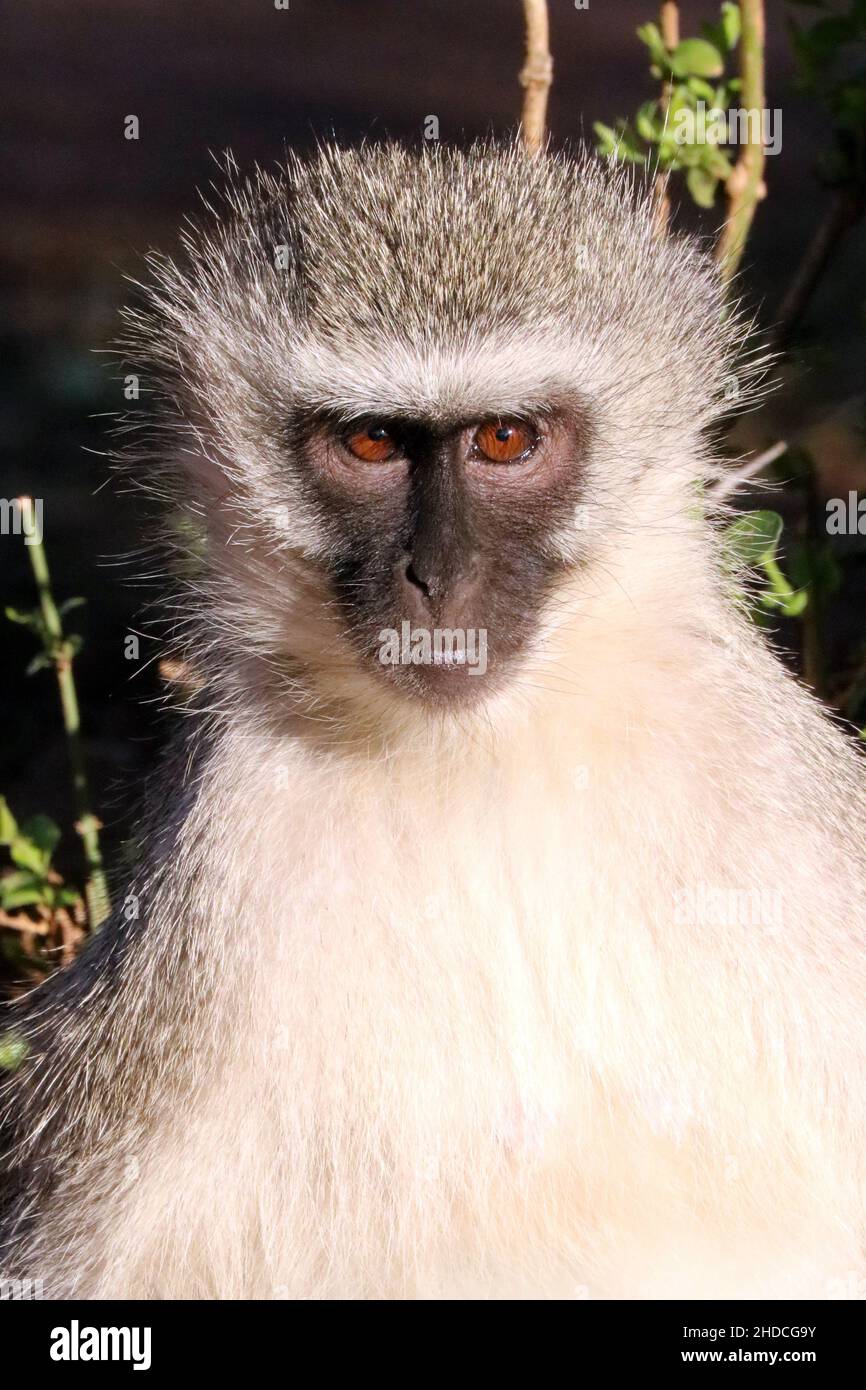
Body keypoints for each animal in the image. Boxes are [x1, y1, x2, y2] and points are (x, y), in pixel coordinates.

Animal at [1, 141, 865, 1300]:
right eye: (371, 442)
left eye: (504, 438)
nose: (437, 577)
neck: (484, 757)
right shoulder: (215, 871)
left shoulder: (778, 800)